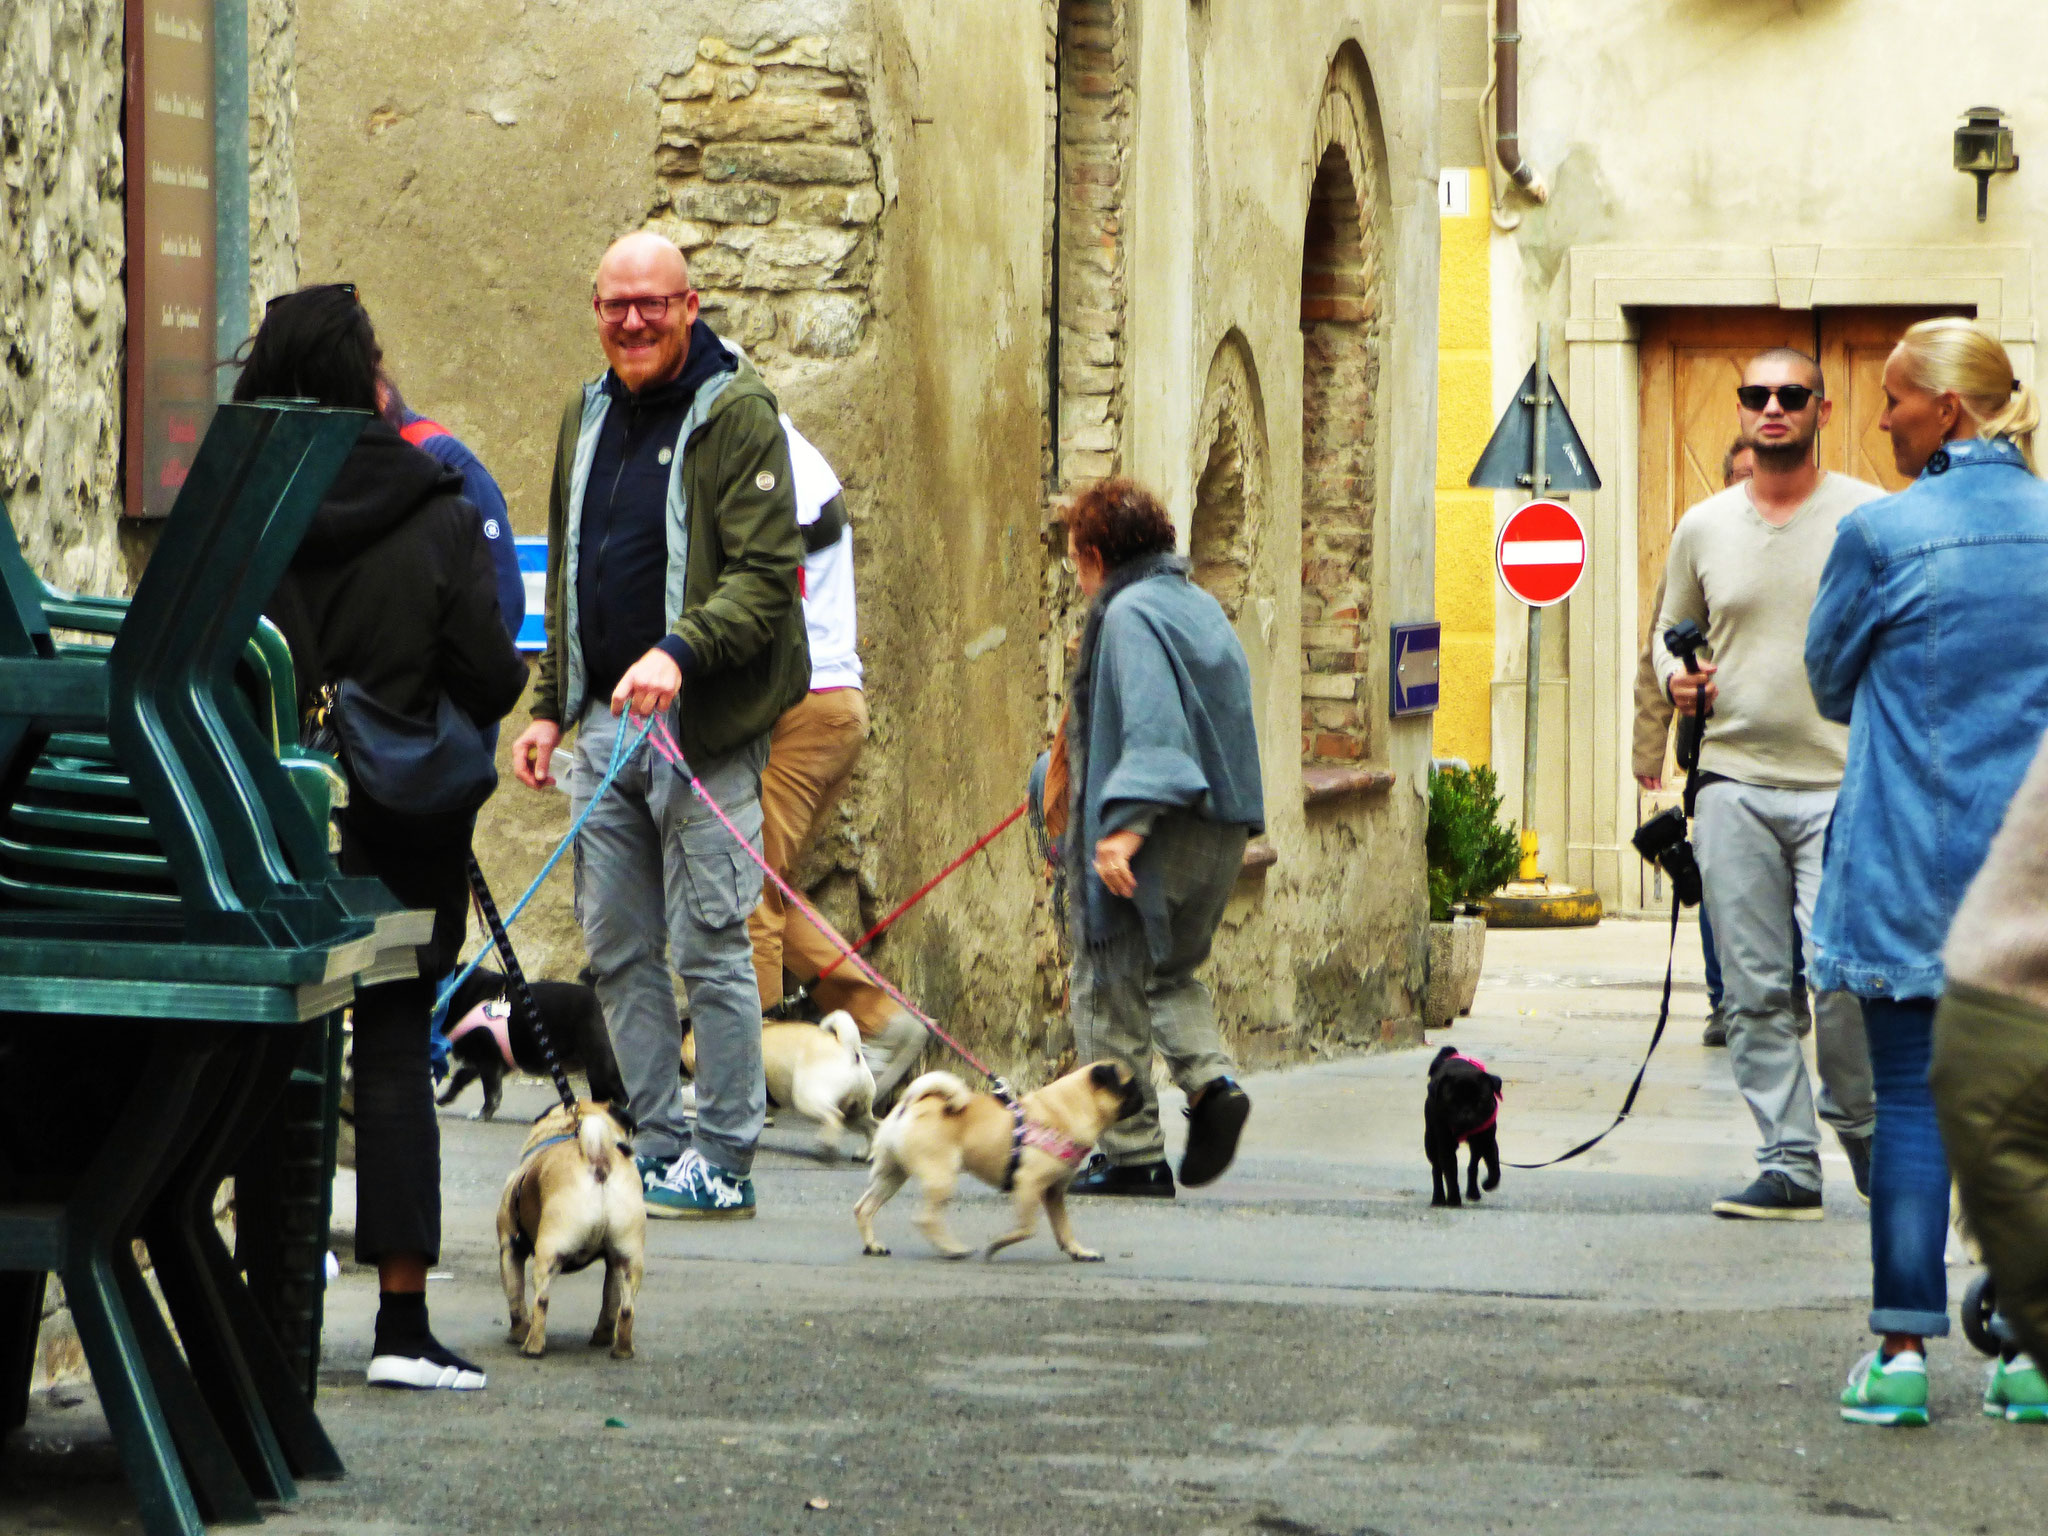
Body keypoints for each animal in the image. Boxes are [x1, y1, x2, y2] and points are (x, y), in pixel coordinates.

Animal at [432, 966, 622, 1122]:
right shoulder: (482, 1060)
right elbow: (460, 1077)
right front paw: (444, 1098)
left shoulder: (488, 1060)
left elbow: (491, 1092)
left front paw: (483, 1113)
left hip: (599, 1065)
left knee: (617, 1093)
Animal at [1425, 1048, 1507, 1212]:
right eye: (1452, 1103)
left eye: (1481, 1101)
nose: (1466, 1113)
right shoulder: (1445, 1145)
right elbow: (1450, 1173)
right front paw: (1454, 1199)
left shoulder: (1487, 1140)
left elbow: (1494, 1165)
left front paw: (1489, 1183)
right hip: (1430, 1142)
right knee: (1437, 1169)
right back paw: (1438, 1198)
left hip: (1477, 1146)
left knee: (1473, 1166)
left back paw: (1473, 1192)